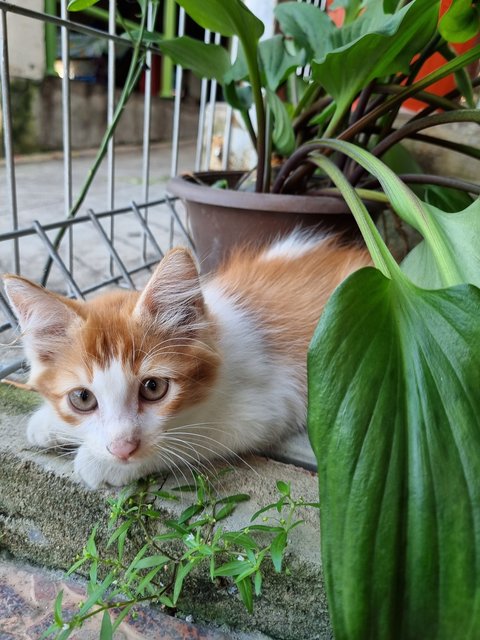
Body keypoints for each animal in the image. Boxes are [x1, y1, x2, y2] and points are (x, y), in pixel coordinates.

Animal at [2, 232, 368, 488]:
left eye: (153, 388)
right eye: (82, 398)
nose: (122, 449)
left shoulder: (266, 406)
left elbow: (191, 438)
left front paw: (102, 463)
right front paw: (49, 422)